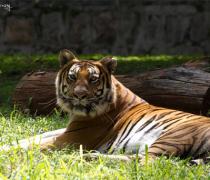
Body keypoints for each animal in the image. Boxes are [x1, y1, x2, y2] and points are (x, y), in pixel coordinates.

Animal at [2, 48, 210, 163]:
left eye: (93, 79)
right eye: (72, 77)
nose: (79, 95)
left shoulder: (71, 139)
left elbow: (33, 146)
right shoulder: (67, 130)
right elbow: (34, 137)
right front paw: (7, 144)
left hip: (175, 135)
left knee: (145, 161)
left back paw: (86, 157)